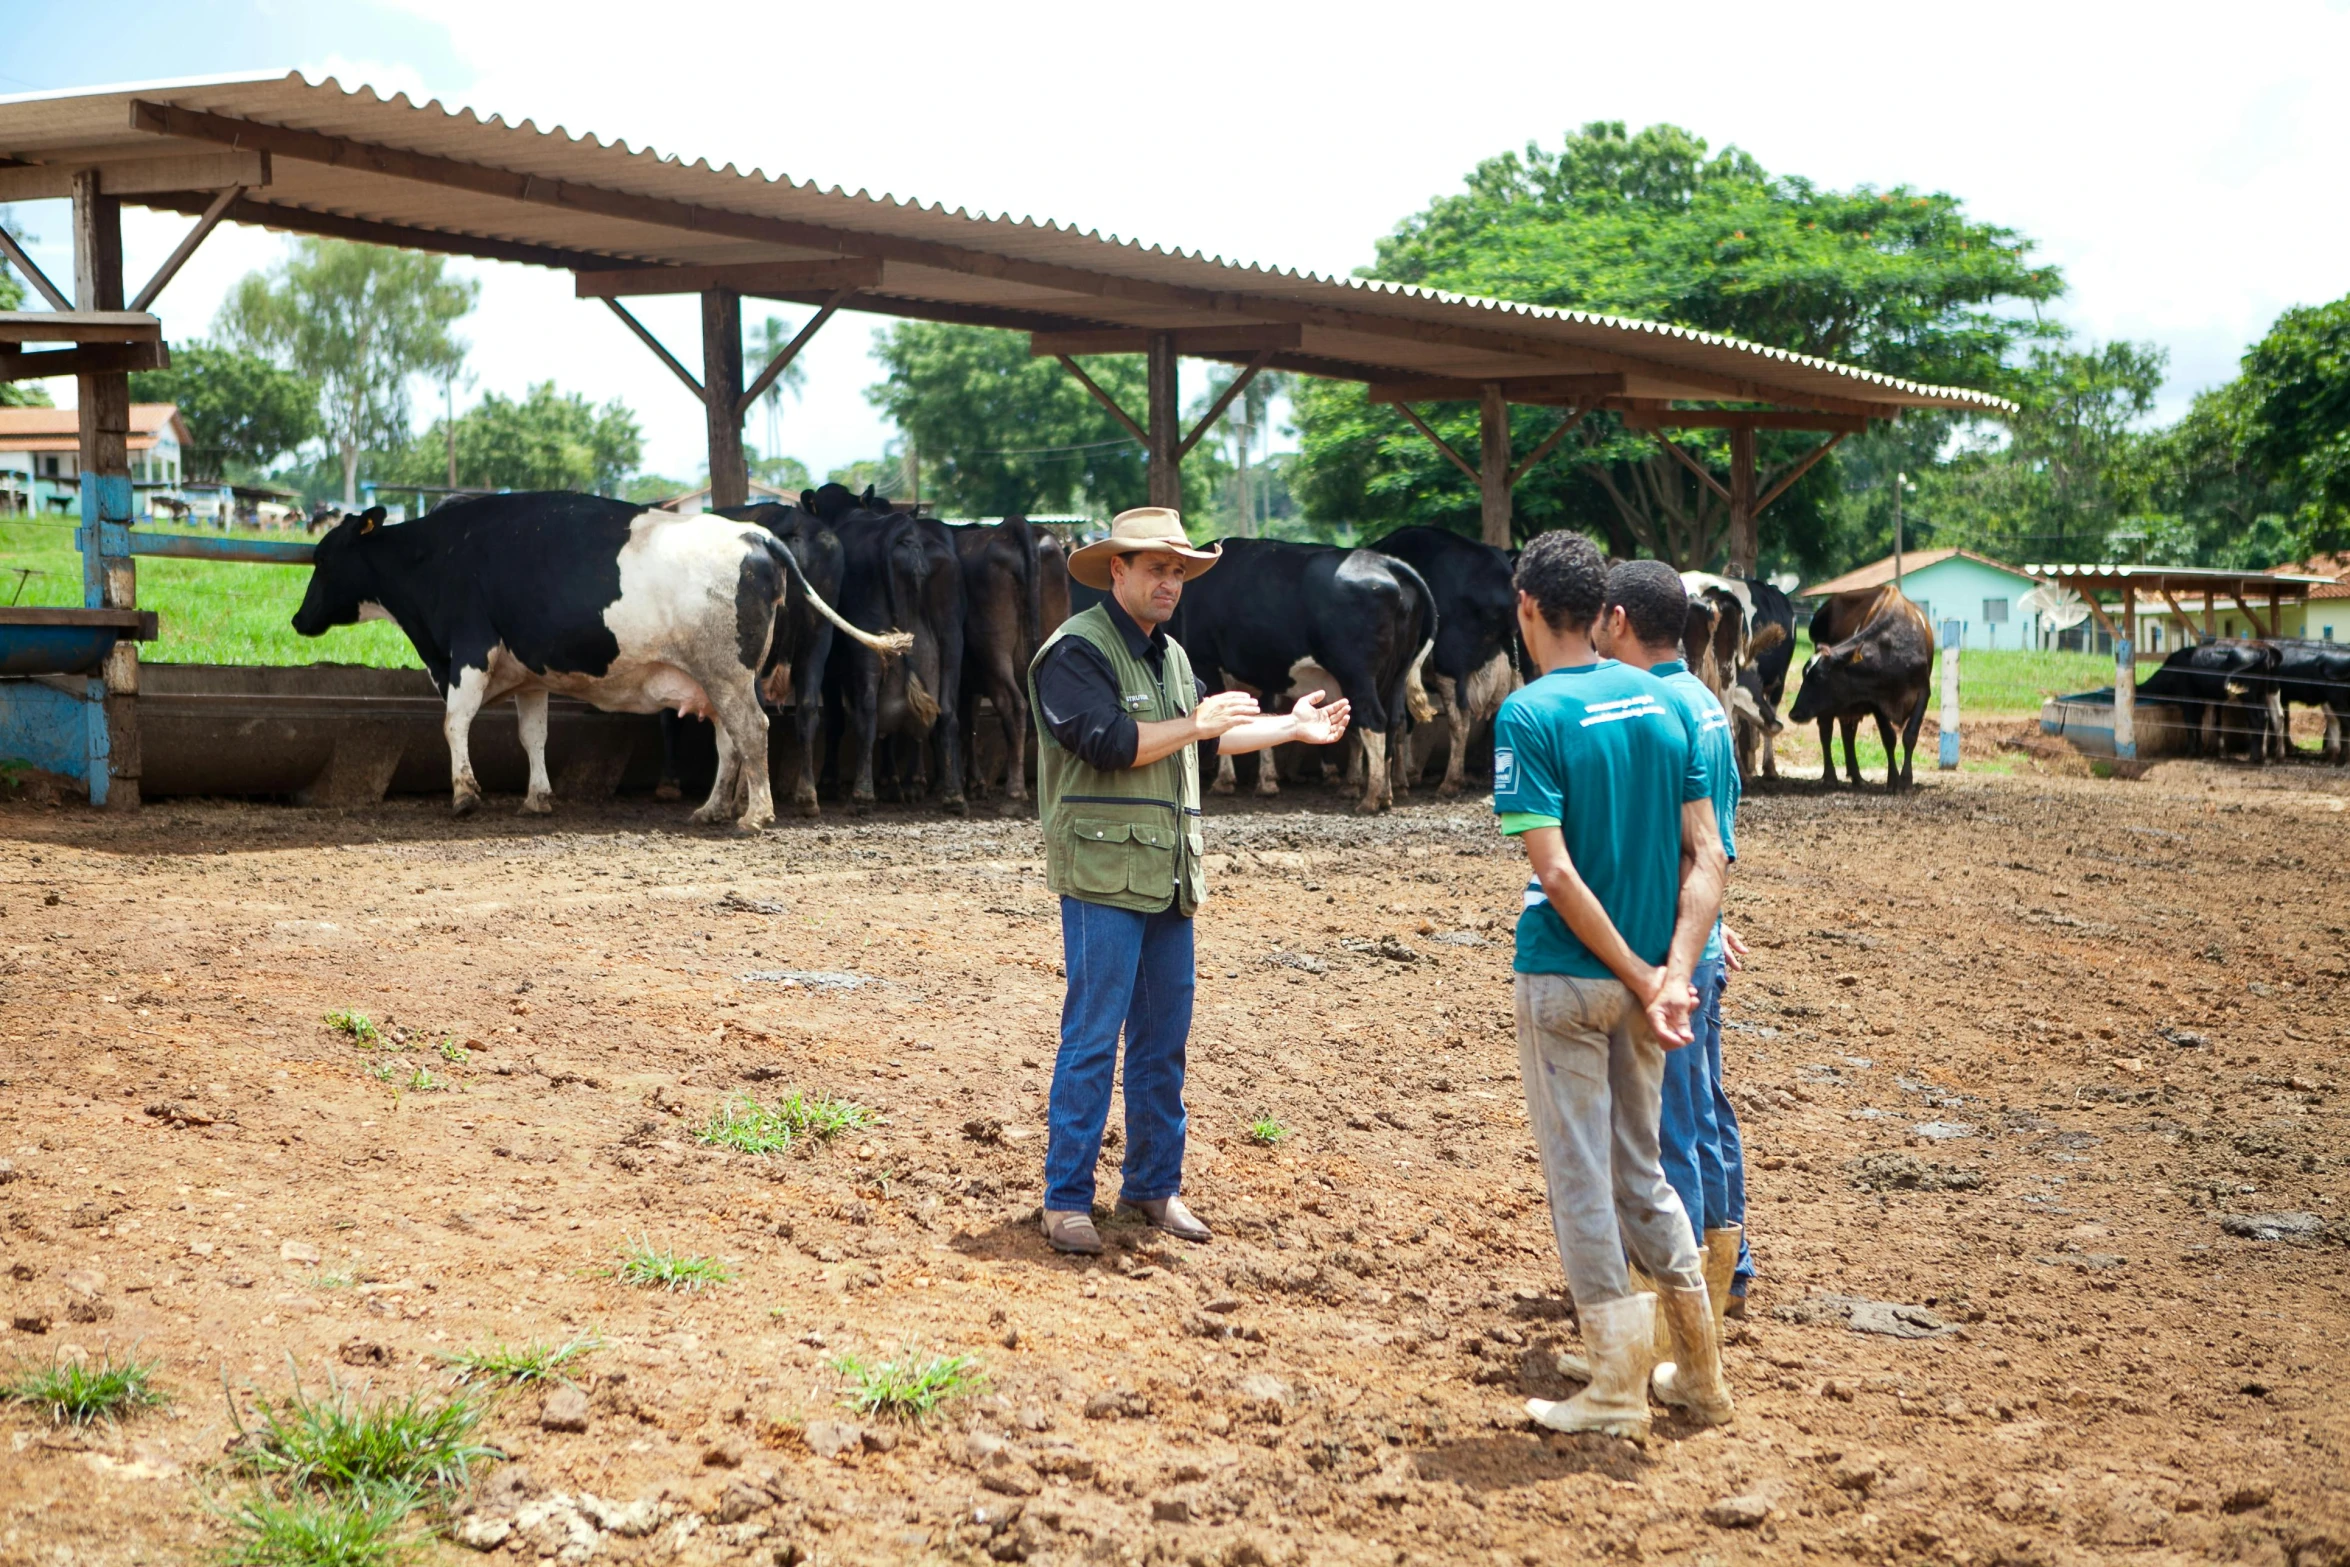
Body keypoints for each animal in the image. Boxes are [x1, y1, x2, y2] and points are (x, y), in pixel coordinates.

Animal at [298, 493, 902, 831]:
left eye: (323, 558)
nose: (299, 620)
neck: (438, 554)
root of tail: (754, 534)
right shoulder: (529, 675)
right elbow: (533, 736)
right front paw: (537, 798)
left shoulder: (467, 652)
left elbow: (454, 722)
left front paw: (465, 795)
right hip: (719, 680)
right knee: (731, 742)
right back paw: (712, 810)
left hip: (728, 674)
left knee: (753, 732)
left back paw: (755, 816)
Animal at [1170, 535, 1438, 817]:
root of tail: (1385, 562)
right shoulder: (1265, 675)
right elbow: (1263, 716)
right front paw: (1267, 782)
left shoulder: (1207, 663)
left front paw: (1225, 781)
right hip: (1398, 673)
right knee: (1394, 721)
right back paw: (1383, 793)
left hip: (1356, 674)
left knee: (1373, 721)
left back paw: (1372, 798)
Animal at [1795, 584, 1926, 789]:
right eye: (1804, 674)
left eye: (1820, 677)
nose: (1794, 713)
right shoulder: (1875, 700)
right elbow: (1889, 737)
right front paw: (1893, 780)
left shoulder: (1923, 692)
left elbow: (1910, 735)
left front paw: (1906, 780)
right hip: (1830, 705)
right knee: (1826, 731)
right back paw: (1830, 776)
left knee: (1848, 732)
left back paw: (1857, 777)